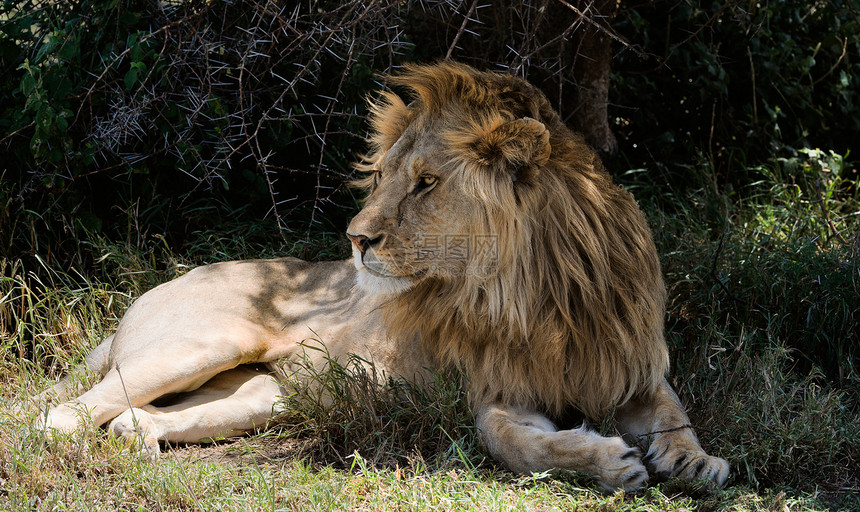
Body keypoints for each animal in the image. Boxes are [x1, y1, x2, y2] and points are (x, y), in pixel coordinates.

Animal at [38, 62, 724, 490]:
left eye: (426, 183)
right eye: (387, 177)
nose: (355, 240)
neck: (535, 293)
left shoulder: (629, 365)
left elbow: (675, 414)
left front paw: (696, 464)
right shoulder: (496, 392)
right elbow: (515, 443)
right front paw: (610, 464)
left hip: (262, 395)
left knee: (133, 417)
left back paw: (144, 446)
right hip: (205, 343)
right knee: (61, 416)